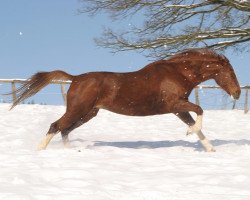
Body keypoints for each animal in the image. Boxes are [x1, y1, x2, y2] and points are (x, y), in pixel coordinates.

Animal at [9, 48, 240, 152]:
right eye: (230, 72)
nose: (237, 93)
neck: (177, 74)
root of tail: (75, 78)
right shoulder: (174, 105)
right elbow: (200, 111)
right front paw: (190, 133)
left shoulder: (179, 109)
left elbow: (196, 122)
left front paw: (210, 149)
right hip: (78, 110)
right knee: (56, 125)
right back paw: (40, 150)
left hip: (88, 113)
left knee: (64, 129)